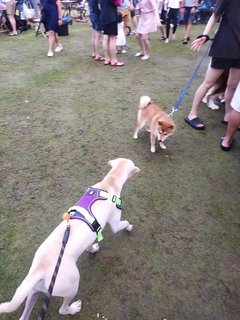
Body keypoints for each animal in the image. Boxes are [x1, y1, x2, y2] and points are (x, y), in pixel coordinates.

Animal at [0, 159, 140, 318]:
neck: (109, 182)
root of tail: (38, 270)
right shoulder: (115, 224)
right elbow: (124, 224)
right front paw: (129, 227)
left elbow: (90, 245)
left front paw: (92, 249)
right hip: (72, 285)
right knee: (62, 309)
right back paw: (73, 309)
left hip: (32, 292)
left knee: (24, 316)